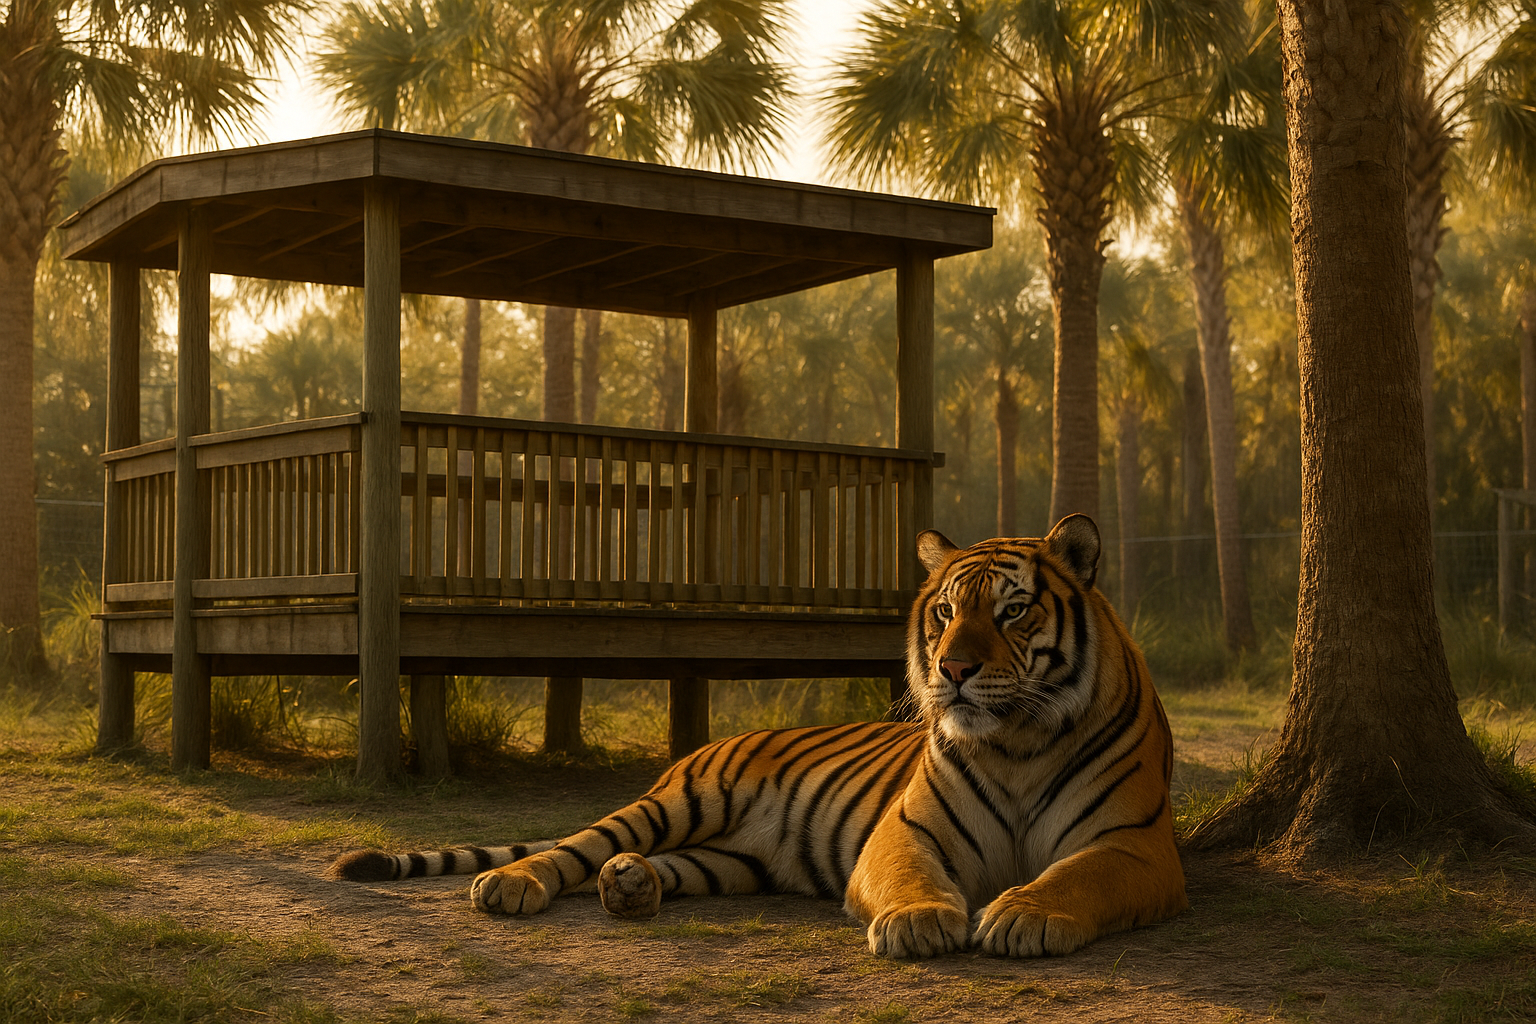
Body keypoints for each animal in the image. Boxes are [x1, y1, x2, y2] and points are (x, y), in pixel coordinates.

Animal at [329, 514, 1188, 958]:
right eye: (946, 611)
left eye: (1012, 611)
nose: (953, 669)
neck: (1013, 743)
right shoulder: (905, 833)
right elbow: (911, 878)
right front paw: (917, 921)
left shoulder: (1135, 844)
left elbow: (1075, 877)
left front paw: (1024, 913)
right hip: (678, 802)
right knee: (576, 846)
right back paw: (514, 884)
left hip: (732, 860)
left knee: (658, 866)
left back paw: (631, 886)